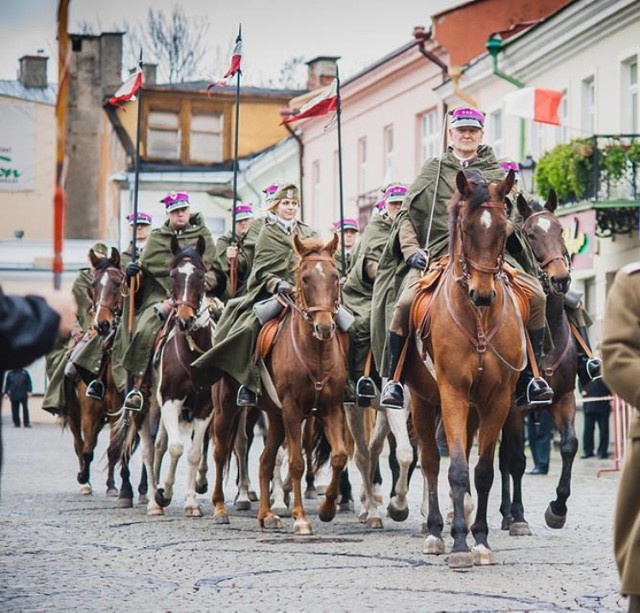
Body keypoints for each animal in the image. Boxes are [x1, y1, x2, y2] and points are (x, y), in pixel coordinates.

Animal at [404, 169, 524, 568]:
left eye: (503, 230)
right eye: (468, 228)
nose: (482, 294)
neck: (479, 320)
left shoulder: (496, 400)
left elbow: (483, 471)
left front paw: (481, 539)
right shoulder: (452, 393)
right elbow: (454, 469)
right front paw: (458, 544)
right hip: (423, 402)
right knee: (429, 462)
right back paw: (435, 531)